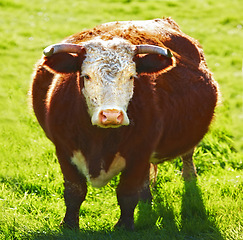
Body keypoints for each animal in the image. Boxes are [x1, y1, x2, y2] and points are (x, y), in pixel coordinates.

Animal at [31, 17, 219, 230]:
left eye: (131, 76)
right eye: (86, 76)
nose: (111, 115)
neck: (99, 140)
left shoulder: (140, 152)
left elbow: (127, 193)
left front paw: (124, 226)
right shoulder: (63, 149)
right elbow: (74, 191)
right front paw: (69, 224)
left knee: (187, 156)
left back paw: (189, 179)